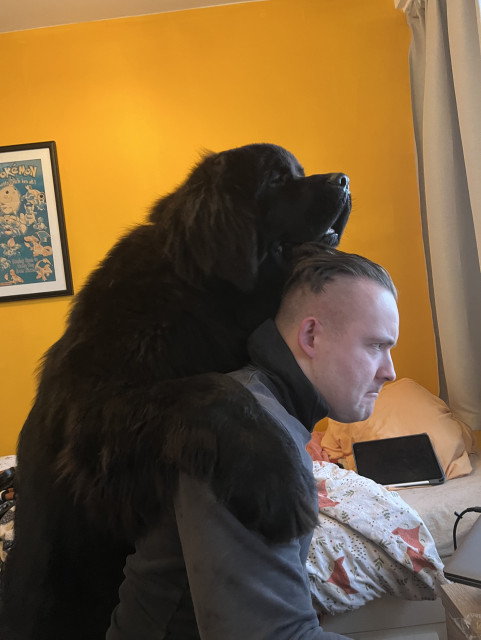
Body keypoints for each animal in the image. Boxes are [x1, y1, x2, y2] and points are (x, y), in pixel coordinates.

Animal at [1, 142, 350, 636]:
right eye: (278, 179)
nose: (344, 180)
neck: (197, 291)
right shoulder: (94, 416)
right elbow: (213, 390)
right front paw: (281, 480)